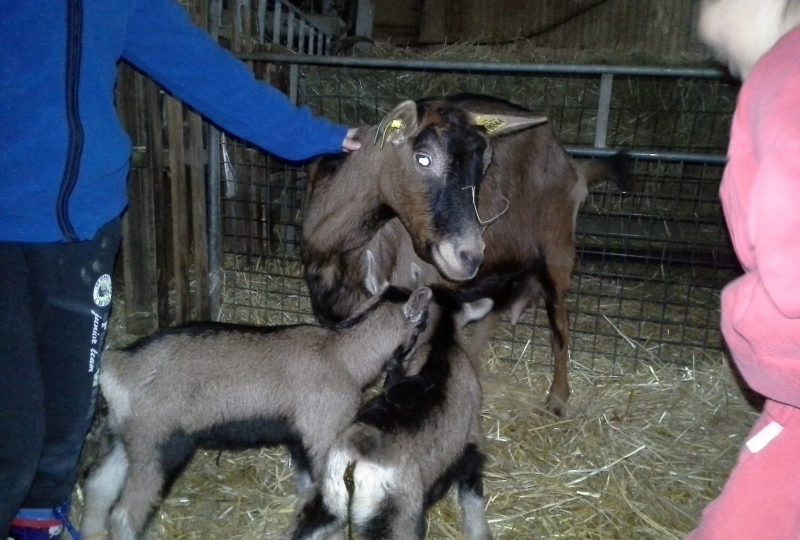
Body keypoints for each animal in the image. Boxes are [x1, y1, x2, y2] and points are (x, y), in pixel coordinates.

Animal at [304, 95, 620, 416]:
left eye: (486, 164)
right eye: (423, 158)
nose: (470, 255)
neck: (338, 248)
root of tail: (570, 162)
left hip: (557, 248)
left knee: (560, 325)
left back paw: (557, 399)